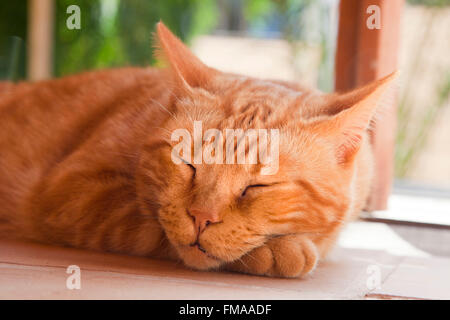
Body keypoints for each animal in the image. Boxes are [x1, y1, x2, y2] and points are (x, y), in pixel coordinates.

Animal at [0, 22, 394, 278]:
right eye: (187, 164)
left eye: (258, 186)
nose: (202, 216)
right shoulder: (71, 192)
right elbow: (148, 223)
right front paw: (277, 252)